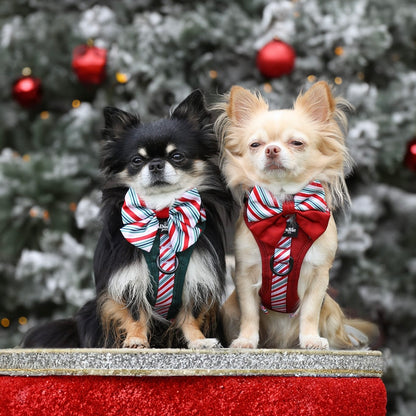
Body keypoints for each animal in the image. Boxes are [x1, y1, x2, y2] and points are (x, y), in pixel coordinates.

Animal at [214, 81, 376, 348]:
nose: (271, 149)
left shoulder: (319, 277)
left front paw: (310, 340)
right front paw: (246, 341)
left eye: (297, 143)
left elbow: (309, 312)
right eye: (255, 145)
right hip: (228, 309)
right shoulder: (245, 276)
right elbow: (250, 313)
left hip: (331, 311)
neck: (285, 205)